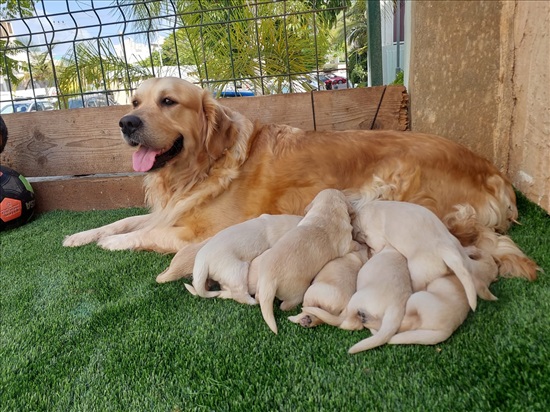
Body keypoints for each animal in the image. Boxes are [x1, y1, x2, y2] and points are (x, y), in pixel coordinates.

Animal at [62, 76, 540, 284]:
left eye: (168, 102)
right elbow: (125, 221)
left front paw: (113, 244)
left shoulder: (202, 230)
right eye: (135, 101)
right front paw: (81, 235)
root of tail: (494, 173)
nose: (125, 123)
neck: (201, 167)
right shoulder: (170, 210)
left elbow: (146, 235)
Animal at [256, 188, 356, 334]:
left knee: (259, 297)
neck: (327, 212)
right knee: (286, 305)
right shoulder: (346, 244)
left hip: (261, 283)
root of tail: (269, 279)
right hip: (298, 291)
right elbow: (354, 244)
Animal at [354, 199, 484, 308]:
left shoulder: (375, 238)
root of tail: (446, 249)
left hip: (417, 271)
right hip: (455, 244)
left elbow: (375, 247)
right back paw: (473, 251)